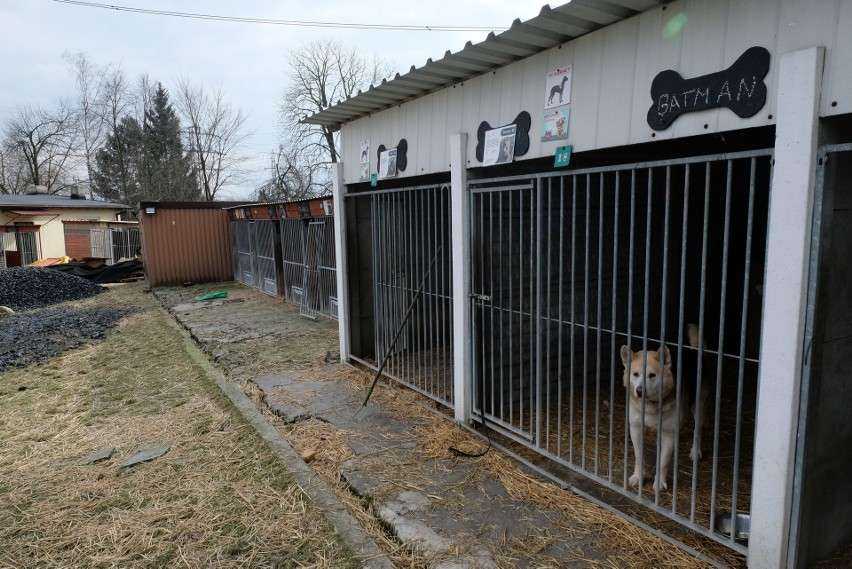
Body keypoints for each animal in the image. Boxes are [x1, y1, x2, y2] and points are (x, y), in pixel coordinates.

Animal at [624, 324, 708, 492]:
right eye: (635, 374)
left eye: (652, 375)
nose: (639, 390)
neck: (651, 405)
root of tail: (695, 350)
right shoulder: (636, 428)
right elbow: (638, 456)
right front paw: (638, 476)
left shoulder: (668, 434)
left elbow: (663, 461)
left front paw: (659, 483)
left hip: (699, 407)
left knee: (698, 430)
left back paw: (696, 451)